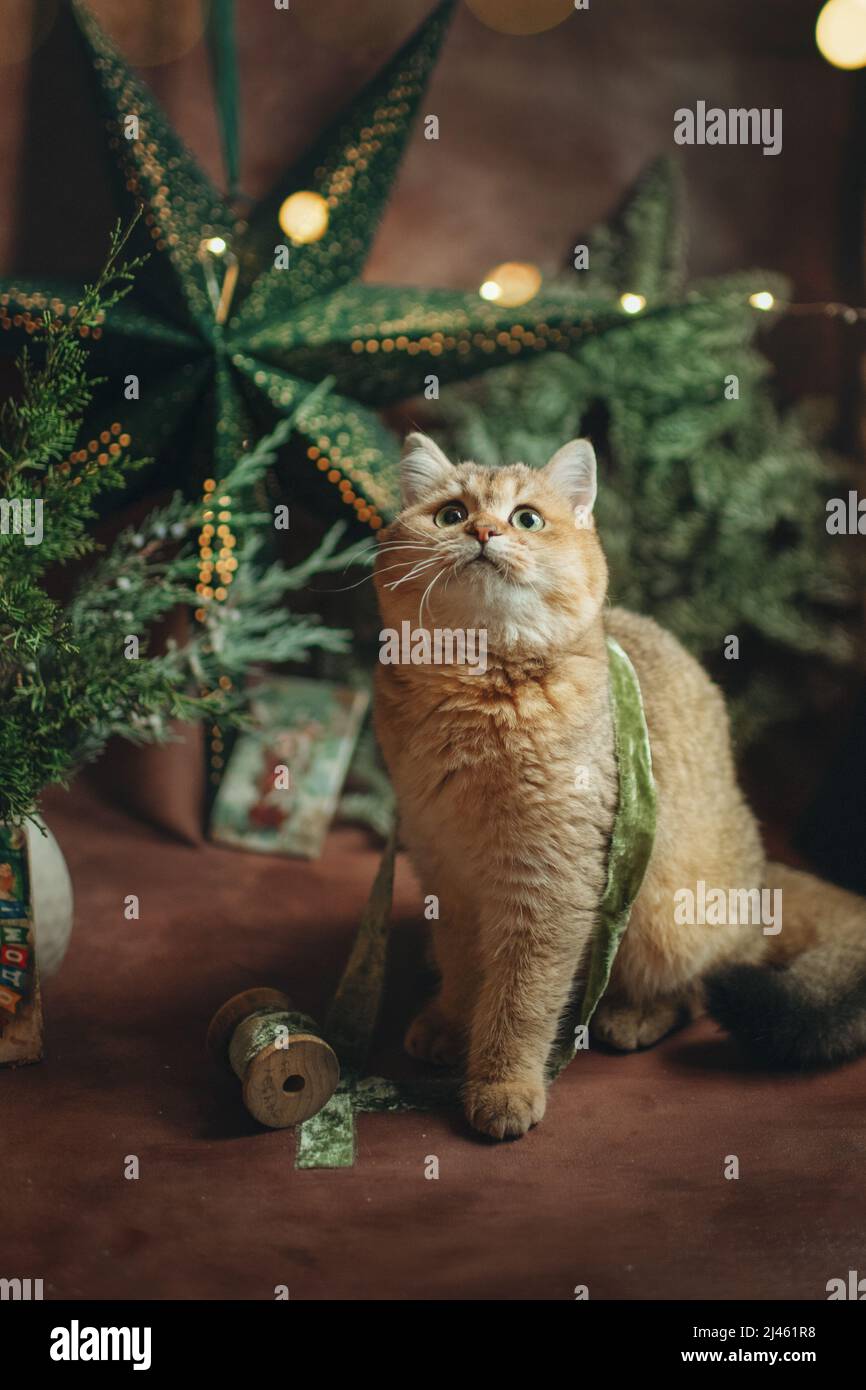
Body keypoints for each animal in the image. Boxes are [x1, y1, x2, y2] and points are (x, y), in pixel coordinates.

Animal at [372, 433, 866, 1139]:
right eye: (450, 515)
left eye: (527, 518)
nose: (486, 531)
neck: (477, 687)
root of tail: (761, 876)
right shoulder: (444, 865)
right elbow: (467, 968)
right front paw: (450, 1020)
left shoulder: (551, 885)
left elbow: (521, 1000)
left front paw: (503, 1084)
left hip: (664, 910)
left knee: (705, 980)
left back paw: (634, 1014)